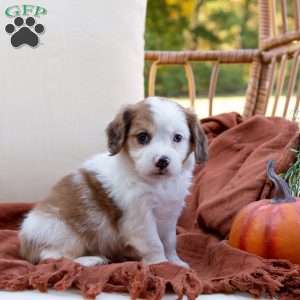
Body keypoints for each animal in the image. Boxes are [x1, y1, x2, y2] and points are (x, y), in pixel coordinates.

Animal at [18, 96, 206, 268]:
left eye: (177, 138)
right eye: (143, 137)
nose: (162, 161)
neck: (157, 184)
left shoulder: (170, 215)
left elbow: (169, 242)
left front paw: (175, 262)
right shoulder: (140, 218)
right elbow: (155, 243)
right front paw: (161, 265)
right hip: (64, 233)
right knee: (53, 258)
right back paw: (90, 260)